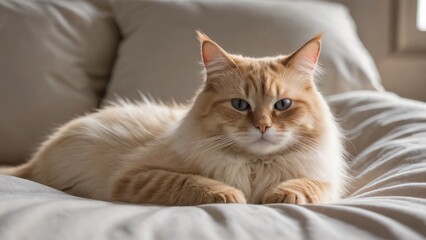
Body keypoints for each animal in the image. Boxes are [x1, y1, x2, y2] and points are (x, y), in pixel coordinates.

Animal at [0, 31, 346, 204]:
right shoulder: (138, 176)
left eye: (282, 105)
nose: (262, 126)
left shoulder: (326, 181)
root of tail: (34, 160)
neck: (253, 167)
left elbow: (308, 186)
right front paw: (233, 196)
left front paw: (280, 195)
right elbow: (197, 183)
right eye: (240, 105)